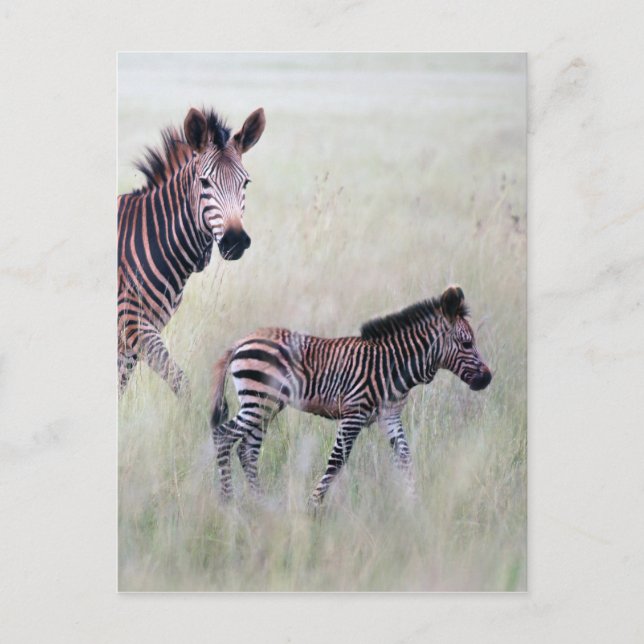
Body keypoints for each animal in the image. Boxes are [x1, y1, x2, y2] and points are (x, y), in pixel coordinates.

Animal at [118, 106, 266, 396]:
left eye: (246, 183)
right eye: (205, 183)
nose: (235, 240)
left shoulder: (135, 332)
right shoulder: (131, 321)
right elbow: (180, 381)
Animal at [209, 285, 492, 506]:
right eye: (467, 344)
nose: (488, 378)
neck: (394, 366)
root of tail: (243, 340)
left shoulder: (389, 416)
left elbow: (405, 458)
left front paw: (415, 505)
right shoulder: (354, 413)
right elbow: (337, 461)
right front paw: (311, 508)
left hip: (265, 405)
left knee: (247, 449)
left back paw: (259, 504)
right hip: (258, 401)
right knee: (223, 436)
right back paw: (228, 502)